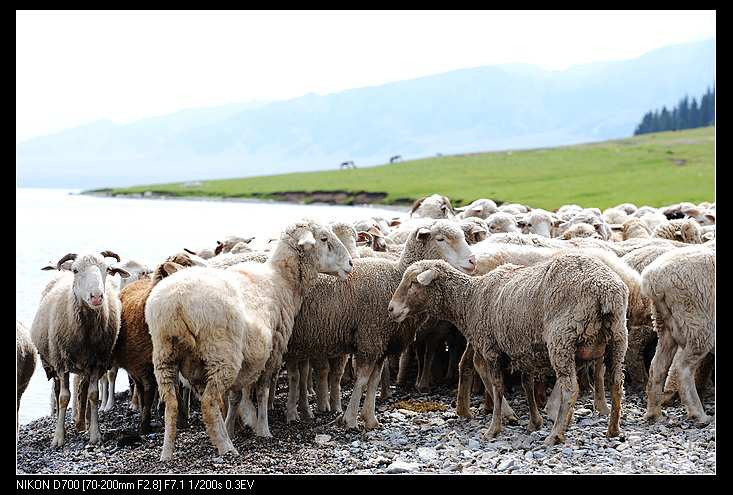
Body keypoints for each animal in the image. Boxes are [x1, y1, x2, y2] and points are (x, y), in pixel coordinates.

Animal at [146, 221, 352, 462]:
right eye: (324, 238)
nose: (350, 264)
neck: (282, 280)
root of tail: (176, 303)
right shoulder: (273, 352)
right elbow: (262, 392)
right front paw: (263, 429)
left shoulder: (246, 362)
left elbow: (236, 396)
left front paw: (231, 427)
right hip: (222, 355)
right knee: (209, 402)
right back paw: (226, 447)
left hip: (165, 355)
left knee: (171, 404)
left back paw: (167, 452)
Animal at [644, 244, 712, 426]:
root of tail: (653, 278)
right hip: (697, 322)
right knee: (683, 367)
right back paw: (698, 414)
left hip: (665, 324)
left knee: (657, 366)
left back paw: (654, 413)